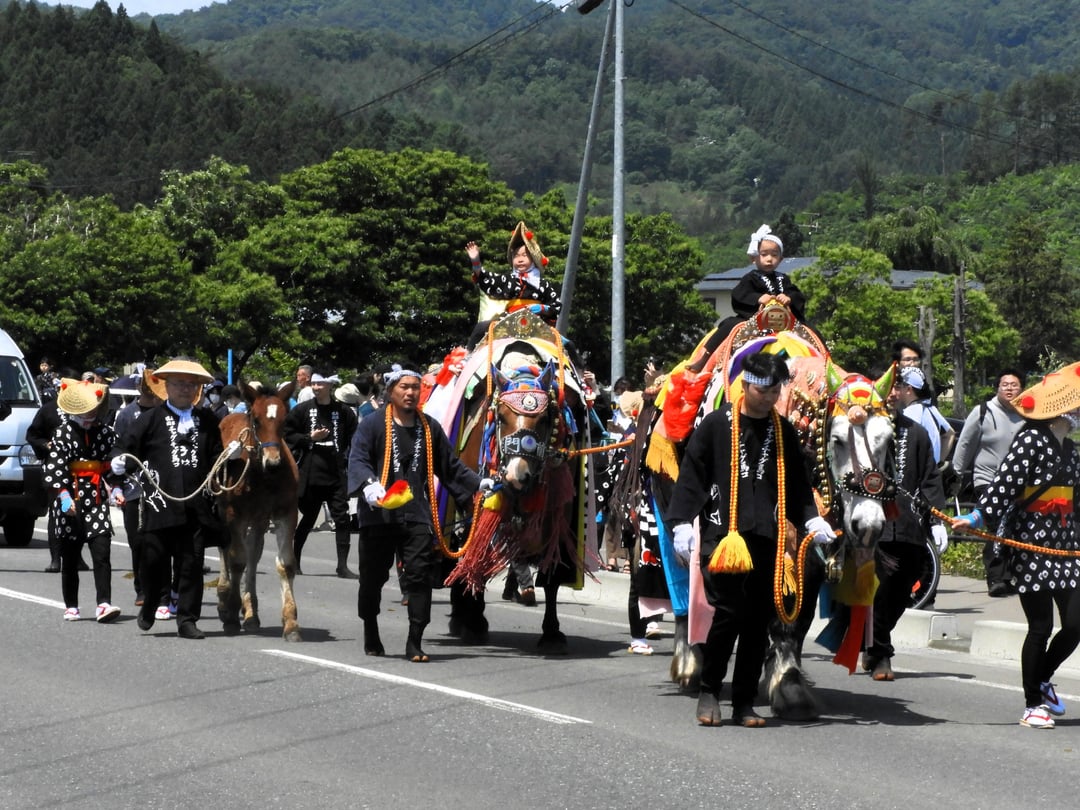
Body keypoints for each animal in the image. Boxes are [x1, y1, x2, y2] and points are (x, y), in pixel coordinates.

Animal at [212, 384, 302, 643]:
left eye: (284, 420)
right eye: (257, 420)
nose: (273, 462)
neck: (262, 476)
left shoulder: (286, 513)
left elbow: (285, 564)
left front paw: (291, 622)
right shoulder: (234, 515)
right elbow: (236, 560)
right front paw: (231, 614)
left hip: (259, 519)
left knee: (253, 554)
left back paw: (251, 611)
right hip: (225, 511)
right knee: (226, 550)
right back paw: (224, 599)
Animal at [421, 306, 600, 656]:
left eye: (544, 419)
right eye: (501, 417)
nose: (518, 475)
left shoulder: (560, 510)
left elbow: (552, 571)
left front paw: (552, 632)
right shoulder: (475, 498)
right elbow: (476, 552)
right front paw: (474, 620)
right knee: (462, 549)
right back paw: (462, 615)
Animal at [622, 302, 898, 721]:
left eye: (888, 440)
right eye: (836, 440)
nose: (868, 524)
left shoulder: (806, 540)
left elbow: (795, 617)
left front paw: (786, 681)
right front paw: (779, 682)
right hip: (670, 515)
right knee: (683, 588)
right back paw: (691, 664)